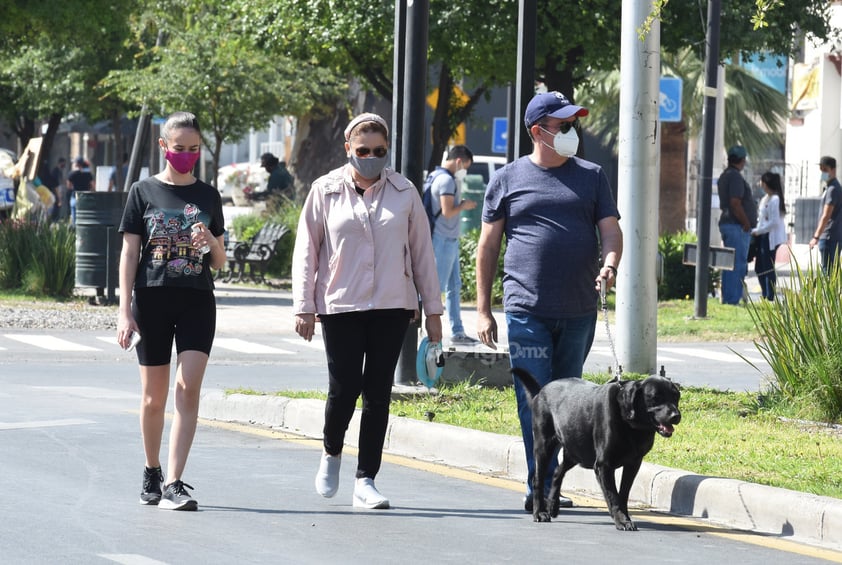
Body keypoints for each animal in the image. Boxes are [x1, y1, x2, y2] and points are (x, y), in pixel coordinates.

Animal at [508, 368, 680, 532]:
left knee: (557, 472)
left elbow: (623, 494)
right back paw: (540, 512)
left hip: (576, 451)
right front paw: (622, 521)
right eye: (655, 397)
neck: (629, 422)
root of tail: (541, 391)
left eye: (676, 396)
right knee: (538, 479)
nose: (676, 416)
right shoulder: (604, 465)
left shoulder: (633, 464)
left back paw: (553, 506)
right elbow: (613, 496)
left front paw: (624, 516)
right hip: (545, 446)